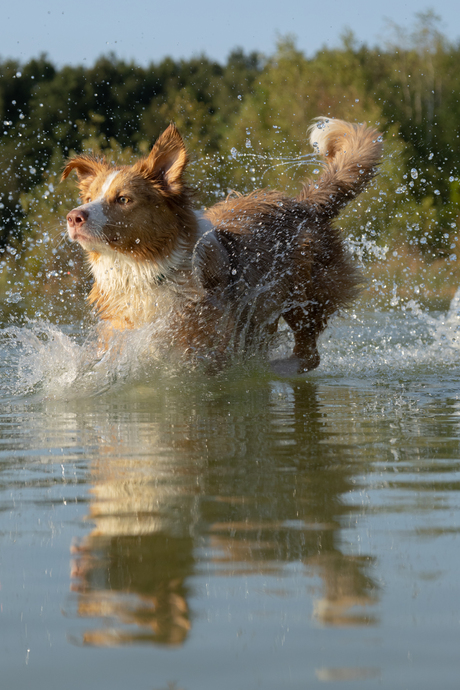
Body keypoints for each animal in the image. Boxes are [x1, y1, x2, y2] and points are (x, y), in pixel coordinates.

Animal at [63, 118, 382, 370]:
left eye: (123, 199)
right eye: (88, 197)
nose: (74, 217)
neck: (144, 270)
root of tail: (304, 204)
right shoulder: (120, 330)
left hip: (305, 298)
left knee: (308, 355)